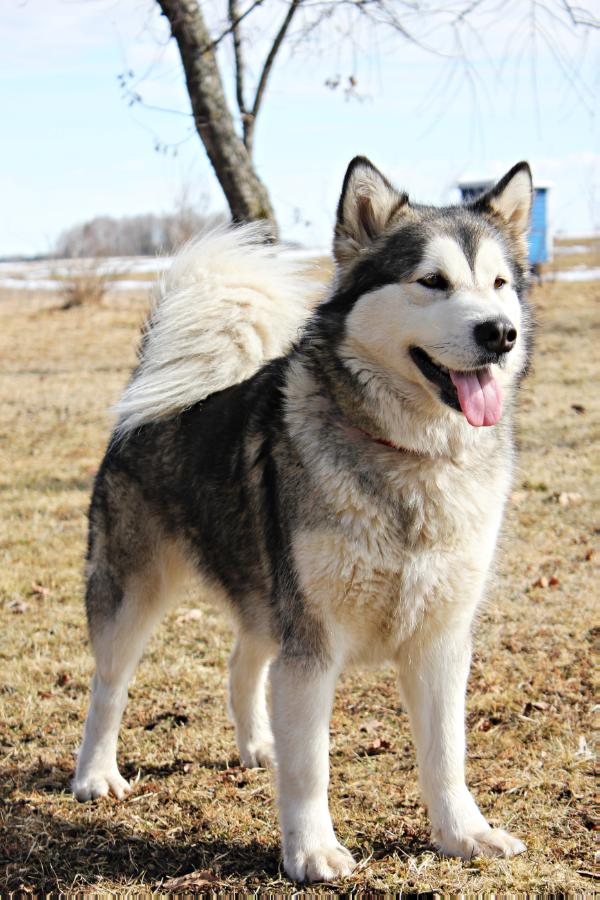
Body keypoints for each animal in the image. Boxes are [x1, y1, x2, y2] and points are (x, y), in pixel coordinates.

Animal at [74, 158, 528, 884]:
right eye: (432, 281)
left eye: (500, 285)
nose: (499, 333)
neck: (408, 457)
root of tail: (149, 393)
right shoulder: (312, 645)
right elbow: (311, 764)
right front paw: (312, 850)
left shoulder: (440, 639)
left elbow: (446, 755)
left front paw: (465, 835)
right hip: (133, 596)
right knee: (108, 686)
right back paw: (95, 775)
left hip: (267, 597)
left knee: (242, 661)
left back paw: (259, 744)